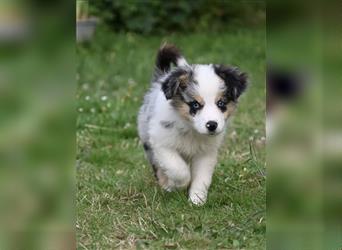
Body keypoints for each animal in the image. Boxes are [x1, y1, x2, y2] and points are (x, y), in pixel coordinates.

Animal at [138, 44, 247, 205]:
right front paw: (176, 185)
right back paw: (166, 185)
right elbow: (178, 169)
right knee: (158, 168)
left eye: (221, 103)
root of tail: (161, 78)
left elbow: (202, 177)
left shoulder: (206, 153)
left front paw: (197, 199)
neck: (191, 129)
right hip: (148, 143)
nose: (212, 125)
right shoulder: (162, 144)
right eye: (195, 104)